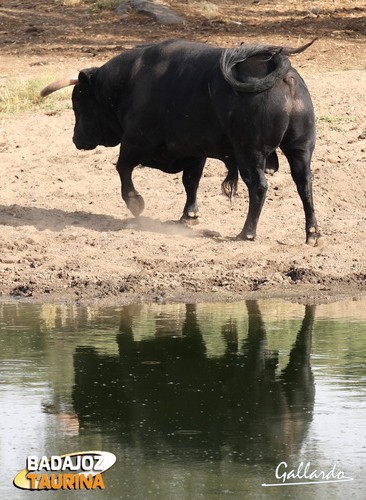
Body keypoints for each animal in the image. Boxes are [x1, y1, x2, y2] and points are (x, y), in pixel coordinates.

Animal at [39, 38, 320, 245]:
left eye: (78, 102)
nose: (76, 139)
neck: (131, 82)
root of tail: (282, 71)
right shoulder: (195, 151)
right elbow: (191, 181)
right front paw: (189, 214)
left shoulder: (134, 142)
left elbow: (123, 169)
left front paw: (135, 203)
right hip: (300, 149)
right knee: (304, 185)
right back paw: (312, 234)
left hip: (249, 153)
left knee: (259, 187)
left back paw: (247, 232)